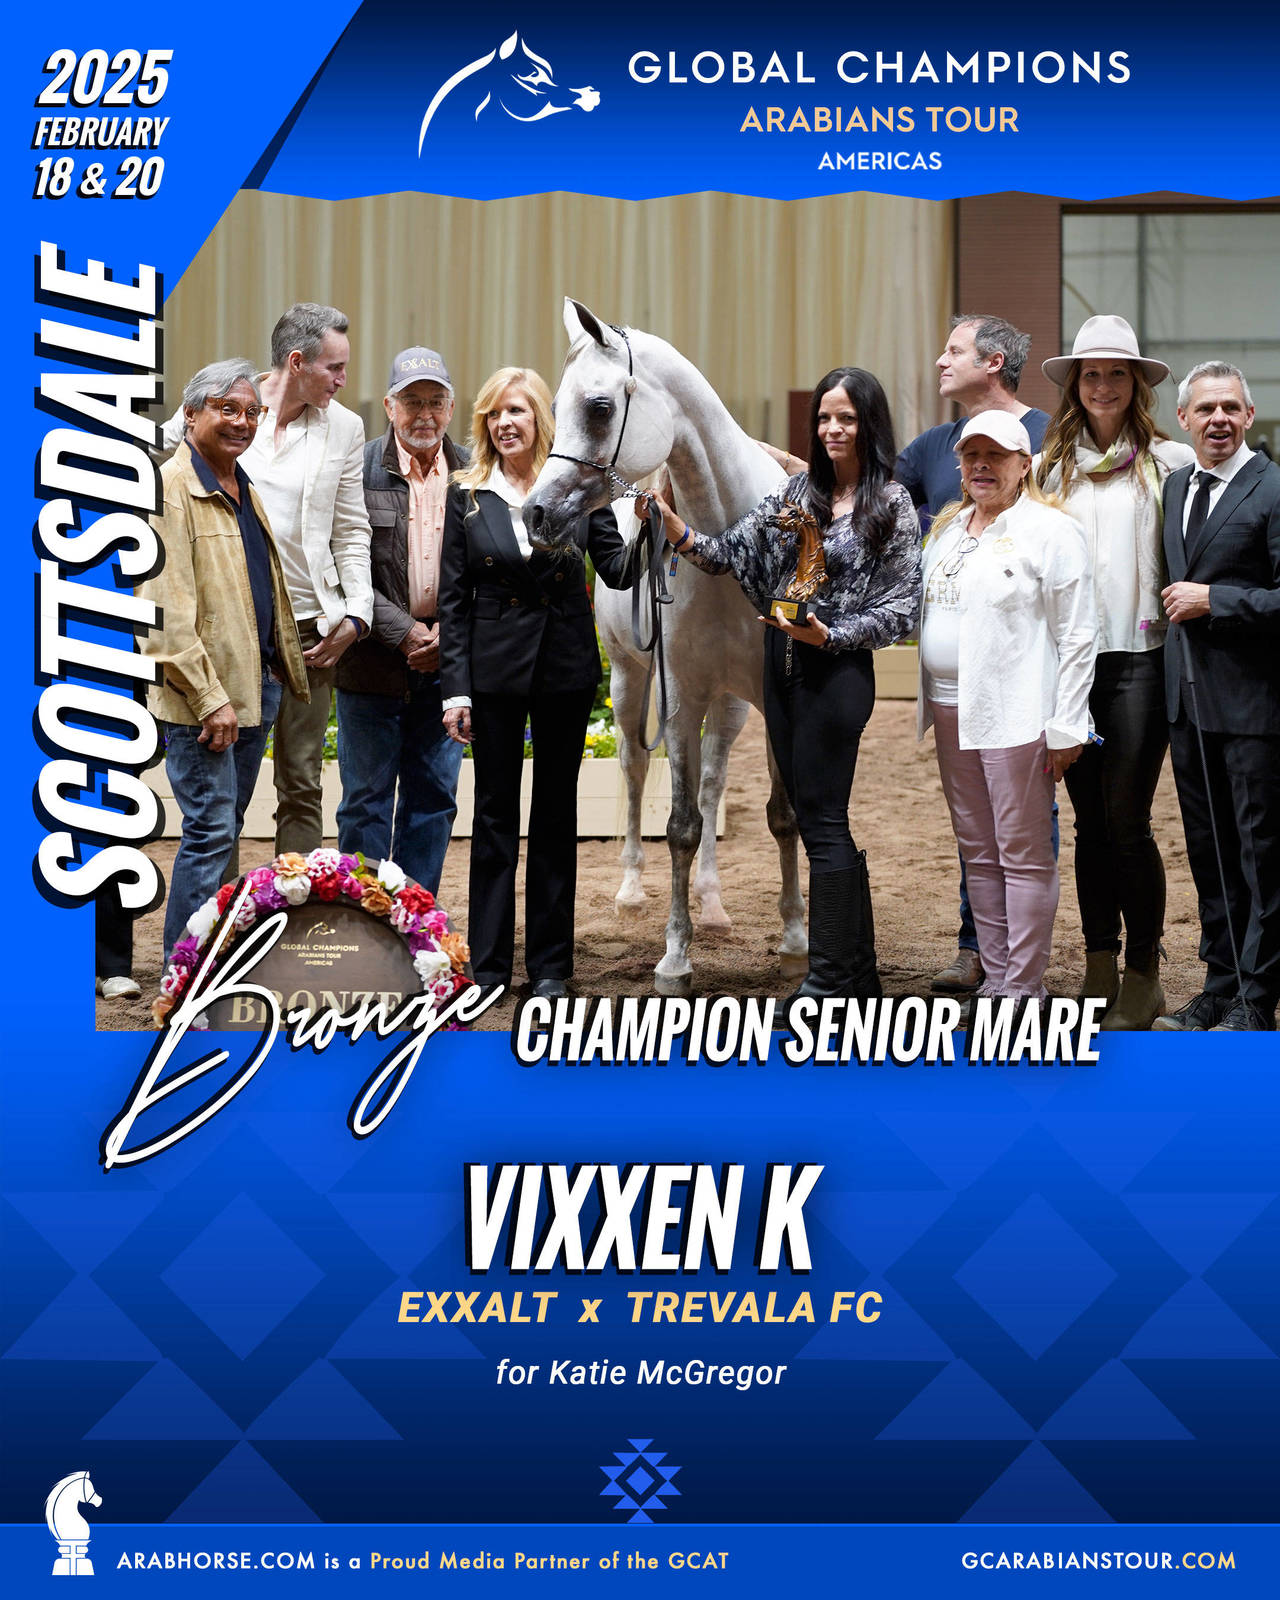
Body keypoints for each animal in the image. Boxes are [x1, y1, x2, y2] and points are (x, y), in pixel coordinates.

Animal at [523, 299, 807, 995]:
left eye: (599, 406)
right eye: (557, 402)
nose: (536, 514)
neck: (731, 543)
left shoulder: (770, 697)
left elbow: (779, 815)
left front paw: (793, 940)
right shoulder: (679, 699)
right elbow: (678, 826)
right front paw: (675, 959)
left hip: (731, 705)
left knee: (712, 781)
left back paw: (713, 903)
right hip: (630, 683)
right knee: (632, 769)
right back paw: (631, 889)